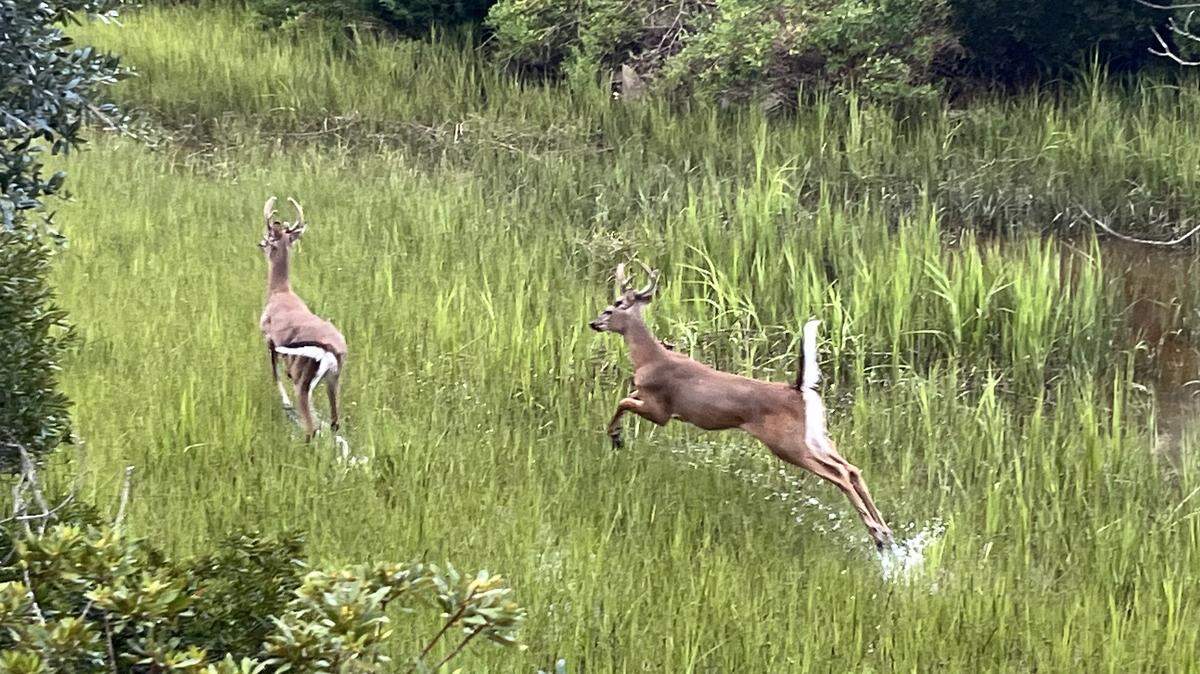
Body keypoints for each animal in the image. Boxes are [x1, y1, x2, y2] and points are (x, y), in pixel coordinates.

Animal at [258, 197, 347, 442]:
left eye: (267, 238)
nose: (260, 244)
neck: (280, 292)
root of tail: (331, 350)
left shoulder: (270, 339)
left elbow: (275, 375)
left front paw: (285, 405)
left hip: (304, 379)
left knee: (311, 427)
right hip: (334, 379)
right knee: (335, 422)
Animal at [589, 263, 895, 550]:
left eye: (612, 307)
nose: (593, 323)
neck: (648, 359)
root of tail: (798, 390)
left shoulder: (661, 409)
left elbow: (623, 401)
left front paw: (615, 437)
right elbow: (625, 399)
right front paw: (617, 437)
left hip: (788, 442)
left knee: (839, 474)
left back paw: (876, 533)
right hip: (818, 436)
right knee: (852, 468)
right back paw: (885, 533)